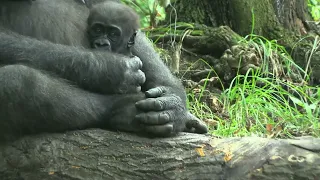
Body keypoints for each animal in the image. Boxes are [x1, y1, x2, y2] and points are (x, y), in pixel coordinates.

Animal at [0, 0, 208, 142]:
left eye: (113, 34)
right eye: (98, 30)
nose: (101, 43)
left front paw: (173, 101)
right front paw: (111, 70)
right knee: (15, 81)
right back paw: (120, 109)